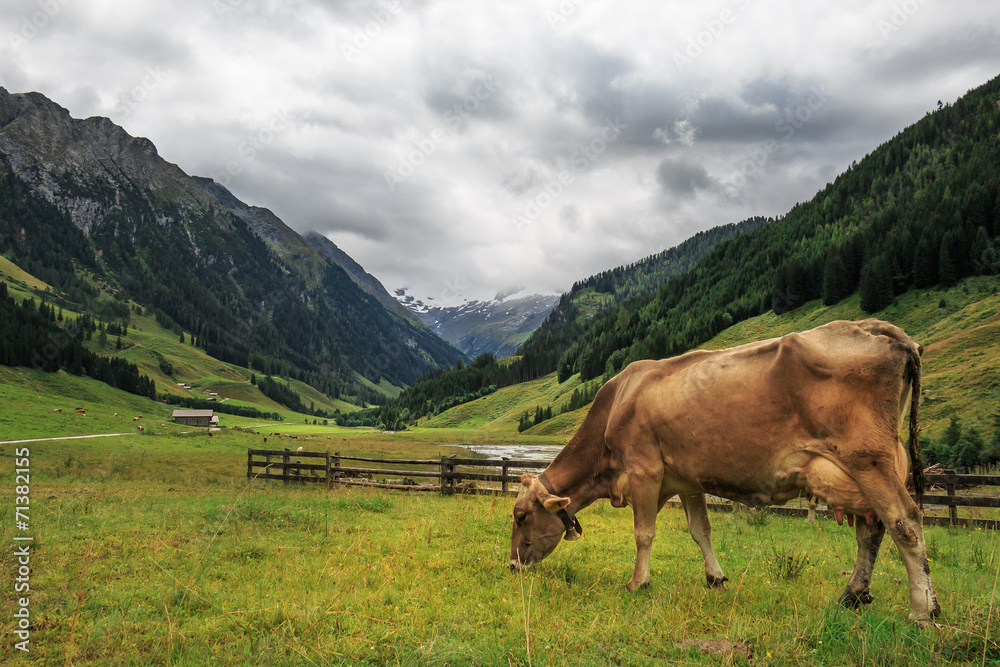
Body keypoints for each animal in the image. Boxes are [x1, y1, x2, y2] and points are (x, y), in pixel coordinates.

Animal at [509, 319, 940, 625]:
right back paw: (853, 595)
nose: (512, 565)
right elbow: (701, 530)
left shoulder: (644, 468)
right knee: (871, 529)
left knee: (905, 522)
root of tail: (876, 327)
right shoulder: (687, 479)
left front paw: (637, 582)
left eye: (521, 515)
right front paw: (715, 578)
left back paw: (923, 611)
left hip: (868, 460)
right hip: (871, 467)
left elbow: (644, 532)